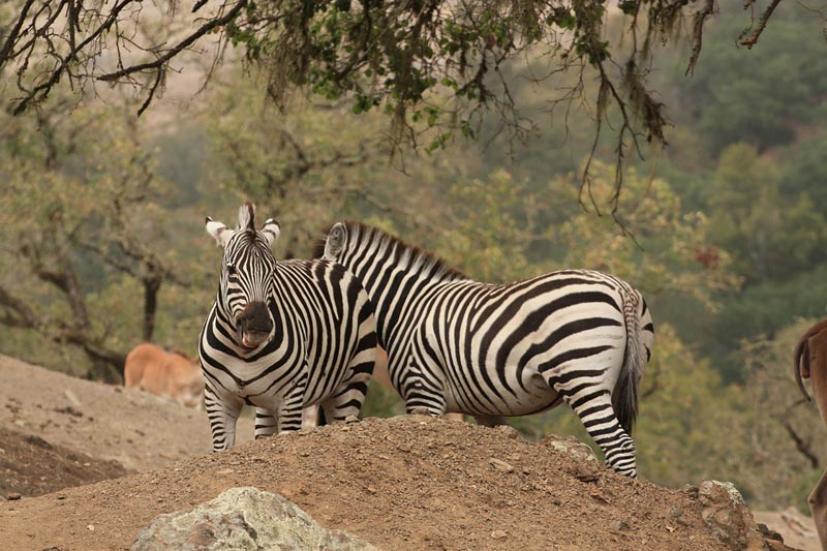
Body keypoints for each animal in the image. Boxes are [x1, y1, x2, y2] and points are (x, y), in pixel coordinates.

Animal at [199, 205, 380, 450]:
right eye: (231, 270)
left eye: (273, 271)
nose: (259, 324)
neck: (243, 351)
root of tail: (327, 261)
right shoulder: (217, 398)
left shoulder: (291, 399)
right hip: (267, 404)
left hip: (353, 380)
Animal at [316, 222, 652, 476]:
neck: (407, 308)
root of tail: (620, 289)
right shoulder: (488, 408)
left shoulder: (424, 391)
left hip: (582, 377)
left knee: (619, 445)